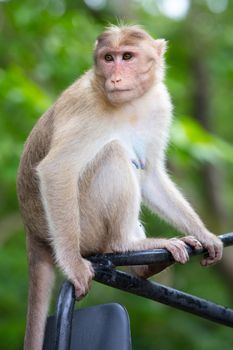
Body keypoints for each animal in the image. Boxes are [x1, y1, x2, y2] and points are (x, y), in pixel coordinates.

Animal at [17, 25, 223, 350]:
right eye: (108, 58)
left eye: (127, 57)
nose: (115, 78)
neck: (131, 104)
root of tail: (33, 232)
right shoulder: (86, 108)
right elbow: (56, 169)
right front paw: (73, 266)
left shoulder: (160, 103)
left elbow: (151, 175)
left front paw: (204, 234)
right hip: (85, 227)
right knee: (113, 153)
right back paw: (124, 245)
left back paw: (143, 267)